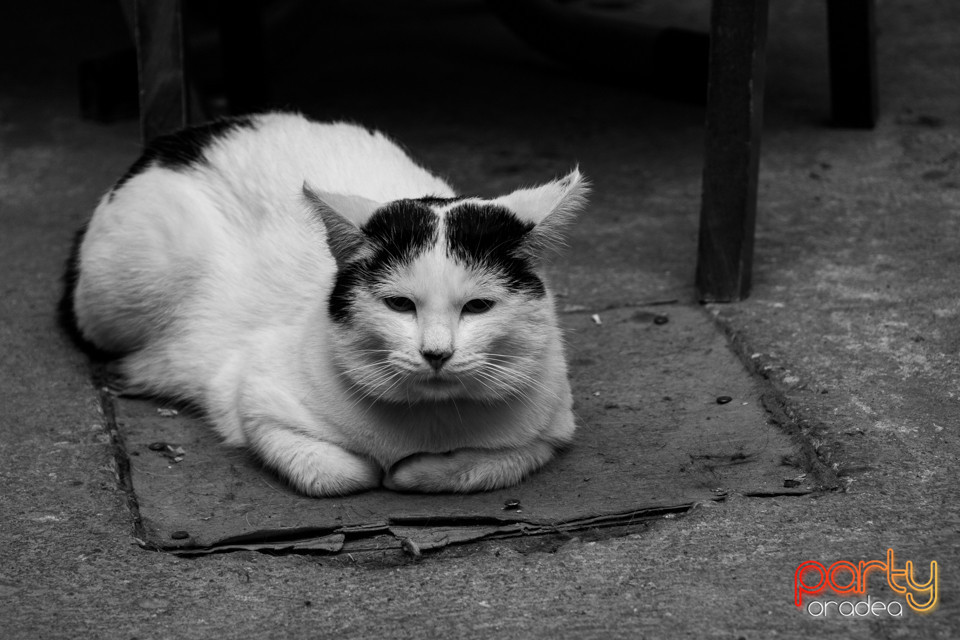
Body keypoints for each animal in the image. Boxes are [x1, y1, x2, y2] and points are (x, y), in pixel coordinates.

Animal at [69, 112, 584, 498]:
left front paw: (414, 471)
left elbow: (489, 465)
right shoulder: (254, 401)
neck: (427, 421)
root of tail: (183, 137)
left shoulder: (552, 429)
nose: (436, 353)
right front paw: (382, 470)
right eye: (399, 304)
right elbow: (336, 473)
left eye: (477, 307)